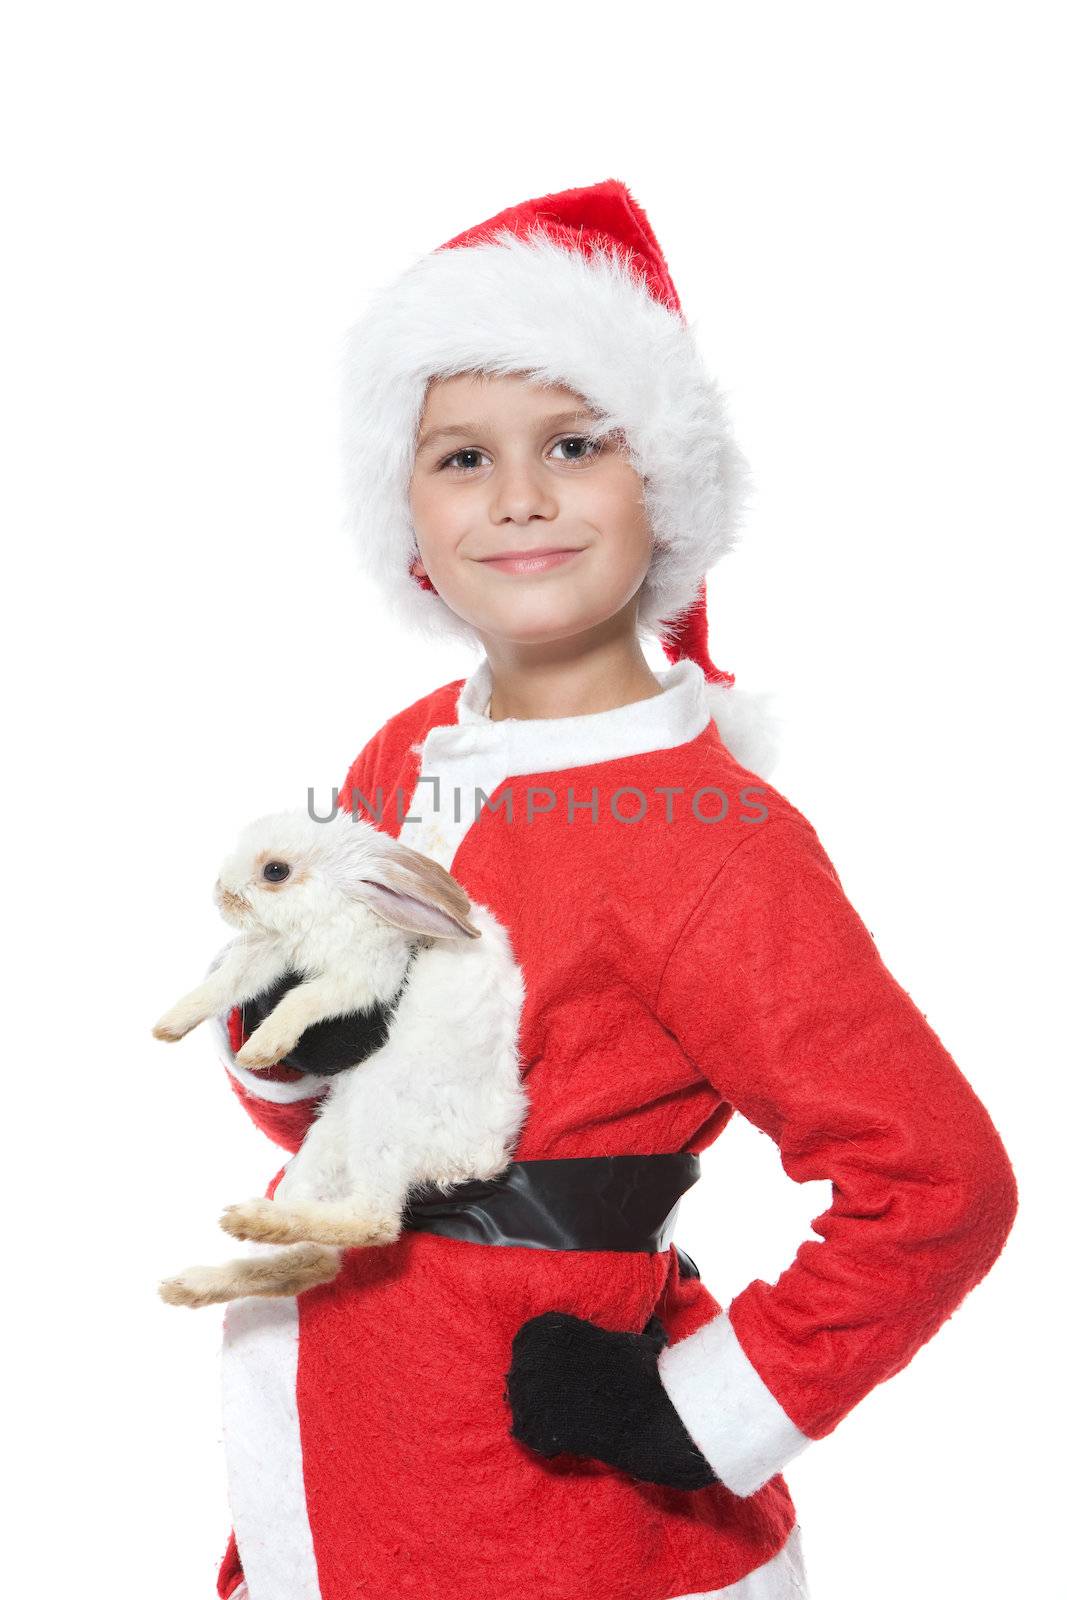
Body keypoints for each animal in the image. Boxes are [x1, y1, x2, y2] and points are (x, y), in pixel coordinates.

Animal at [153, 806, 531, 1305]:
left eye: (275, 871)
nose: (220, 893)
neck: (340, 905)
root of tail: (478, 1160)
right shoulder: (269, 956)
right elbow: (224, 984)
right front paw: (168, 1026)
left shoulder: (364, 978)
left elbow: (303, 999)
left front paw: (261, 1048)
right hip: (325, 1147)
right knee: (315, 1262)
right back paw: (190, 1285)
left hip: (380, 1113)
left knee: (375, 1222)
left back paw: (248, 1221)